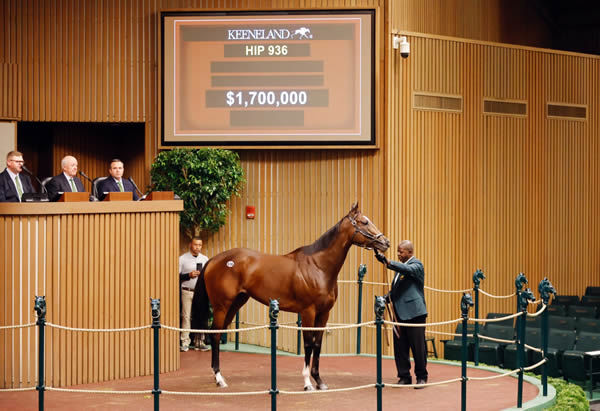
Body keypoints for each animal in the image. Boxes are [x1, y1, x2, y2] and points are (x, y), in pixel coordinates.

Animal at [191, 204, 390, 392]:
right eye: (364, 222)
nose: (385, 242)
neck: (318, 267)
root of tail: (213, 260)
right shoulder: (308, 312)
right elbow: (308, 344)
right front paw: (307, 383)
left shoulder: (324, 314)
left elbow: (318, 344)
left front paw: (319, 381)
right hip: (221, 306)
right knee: (215, 334)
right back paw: (219, 379)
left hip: (235, 304)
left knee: (218, 334)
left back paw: (218, 377)